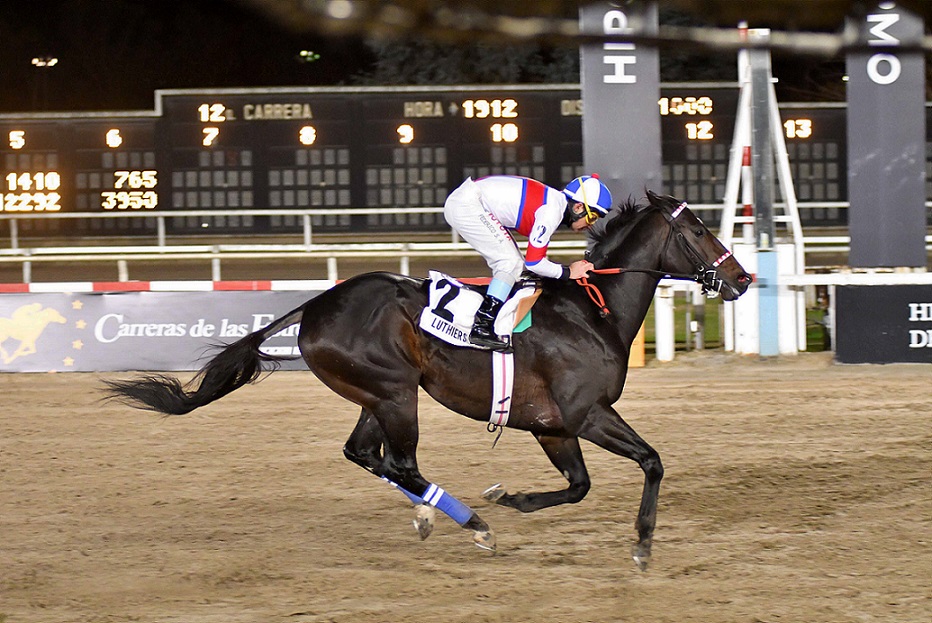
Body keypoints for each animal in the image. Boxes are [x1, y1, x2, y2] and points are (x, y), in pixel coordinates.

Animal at [104, 190, 752, 570]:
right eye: (699, 229)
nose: (742, 279)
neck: (593, 311)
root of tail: (313, 306)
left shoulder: (552, 426)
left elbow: (579, 485)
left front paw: (515, 497)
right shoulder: (584, 414)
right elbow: (649, 463)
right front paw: (639, 542)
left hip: (377, 393)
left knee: (366, 455)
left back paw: (430, 514)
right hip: (395, 393)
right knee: (400, 462)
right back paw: (474, 524)